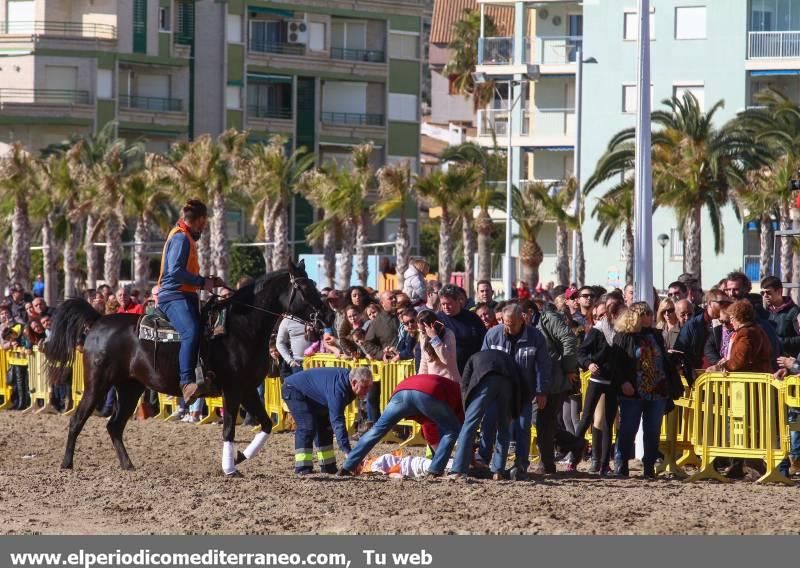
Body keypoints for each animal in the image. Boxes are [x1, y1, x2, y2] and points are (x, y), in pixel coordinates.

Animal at [44, 260, 332, 474]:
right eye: (304, 286)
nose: (328, 315)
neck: (241, 326)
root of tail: (98, 320)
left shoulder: (248, 389)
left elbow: (266, 424)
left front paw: (239, 456)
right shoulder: (233, 390)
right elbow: (229, 428)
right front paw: (229, 467)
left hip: (130, 388)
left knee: (114, 426)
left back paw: (127, 464)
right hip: (97, 384)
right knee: (78, 419)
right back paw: (67, 463)